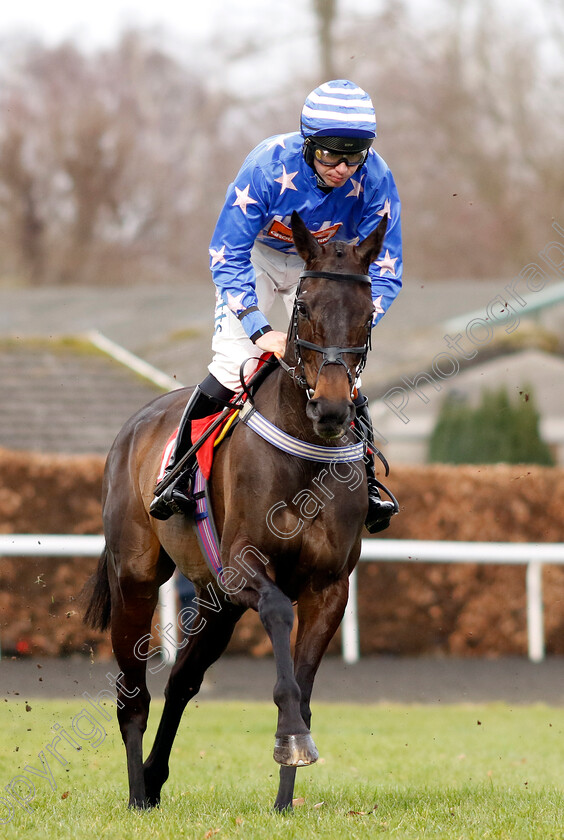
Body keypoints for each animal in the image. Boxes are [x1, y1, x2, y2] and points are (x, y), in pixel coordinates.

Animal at [83, 210, 390, 812]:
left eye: (367, 314)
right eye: (303, 306)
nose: (332, 408)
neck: (305, 455)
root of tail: (136, 425)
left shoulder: (329, 587)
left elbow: (304, 685)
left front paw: (285, 798)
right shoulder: (243, 568)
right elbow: (277, 618)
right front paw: (290, 739)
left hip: (214, 603)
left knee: (181, 681)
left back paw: (154, 777)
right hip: (137, 578)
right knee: (133, 692)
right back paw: (136, 794)